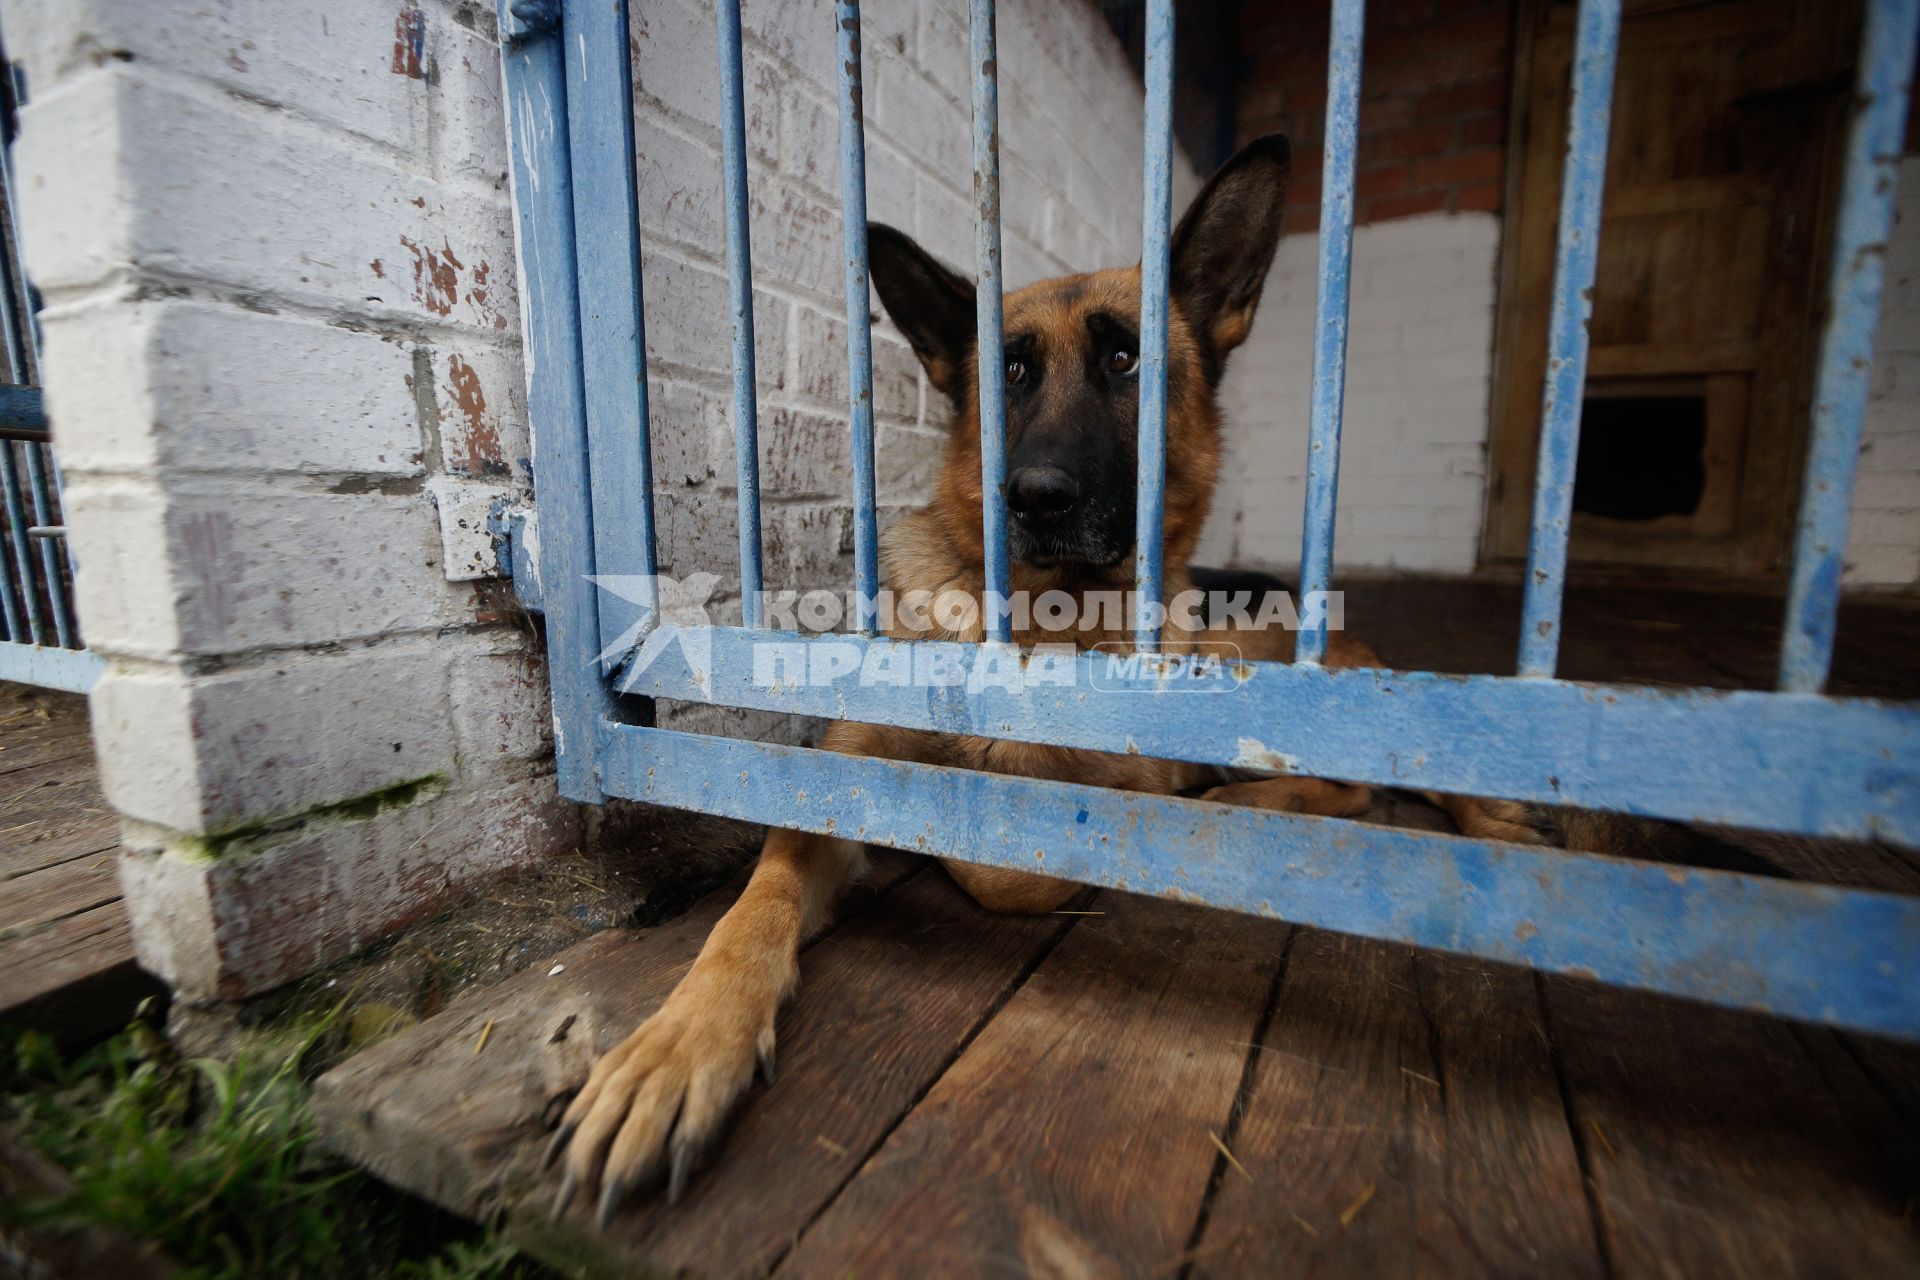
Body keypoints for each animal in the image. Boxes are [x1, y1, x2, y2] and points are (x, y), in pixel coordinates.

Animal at [552, 135, 1559, 1220]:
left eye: (1126, 360)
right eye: (1010, 372)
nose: (1034, 496)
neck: (1038, 617)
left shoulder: (1092, 793)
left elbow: (1006, 856)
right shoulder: (834, 790)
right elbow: (753, 910)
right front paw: (675, 1047)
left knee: (1373, 777)